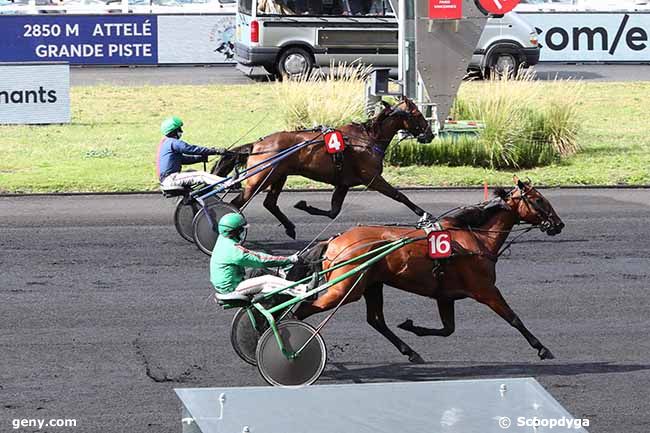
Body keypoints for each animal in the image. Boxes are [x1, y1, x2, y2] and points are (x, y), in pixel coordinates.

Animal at [214, 96, 436, 238]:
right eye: (417, 114)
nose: (430, 134)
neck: (368, 138)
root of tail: (256, 145)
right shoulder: (372, 178)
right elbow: (400, 196)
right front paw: (425, 214)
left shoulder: (343, 184)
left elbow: (333, 212)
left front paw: (304, 206)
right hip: (260, 178)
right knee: (236, 203)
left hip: (279, 175)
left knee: (269, 203)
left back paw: (289, 227)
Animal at [290, 177, 560, 362]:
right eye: (539, 199)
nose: (559, 224)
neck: (474, 239)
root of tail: (334, 241)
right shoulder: (485, 289)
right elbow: (514, 318)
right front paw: (542, 348)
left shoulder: (445, 295)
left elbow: (448, 329)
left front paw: (412, 326)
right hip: (345, 288)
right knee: (302, 310)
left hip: (371, 285)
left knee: (376, 320)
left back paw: (410, 352)